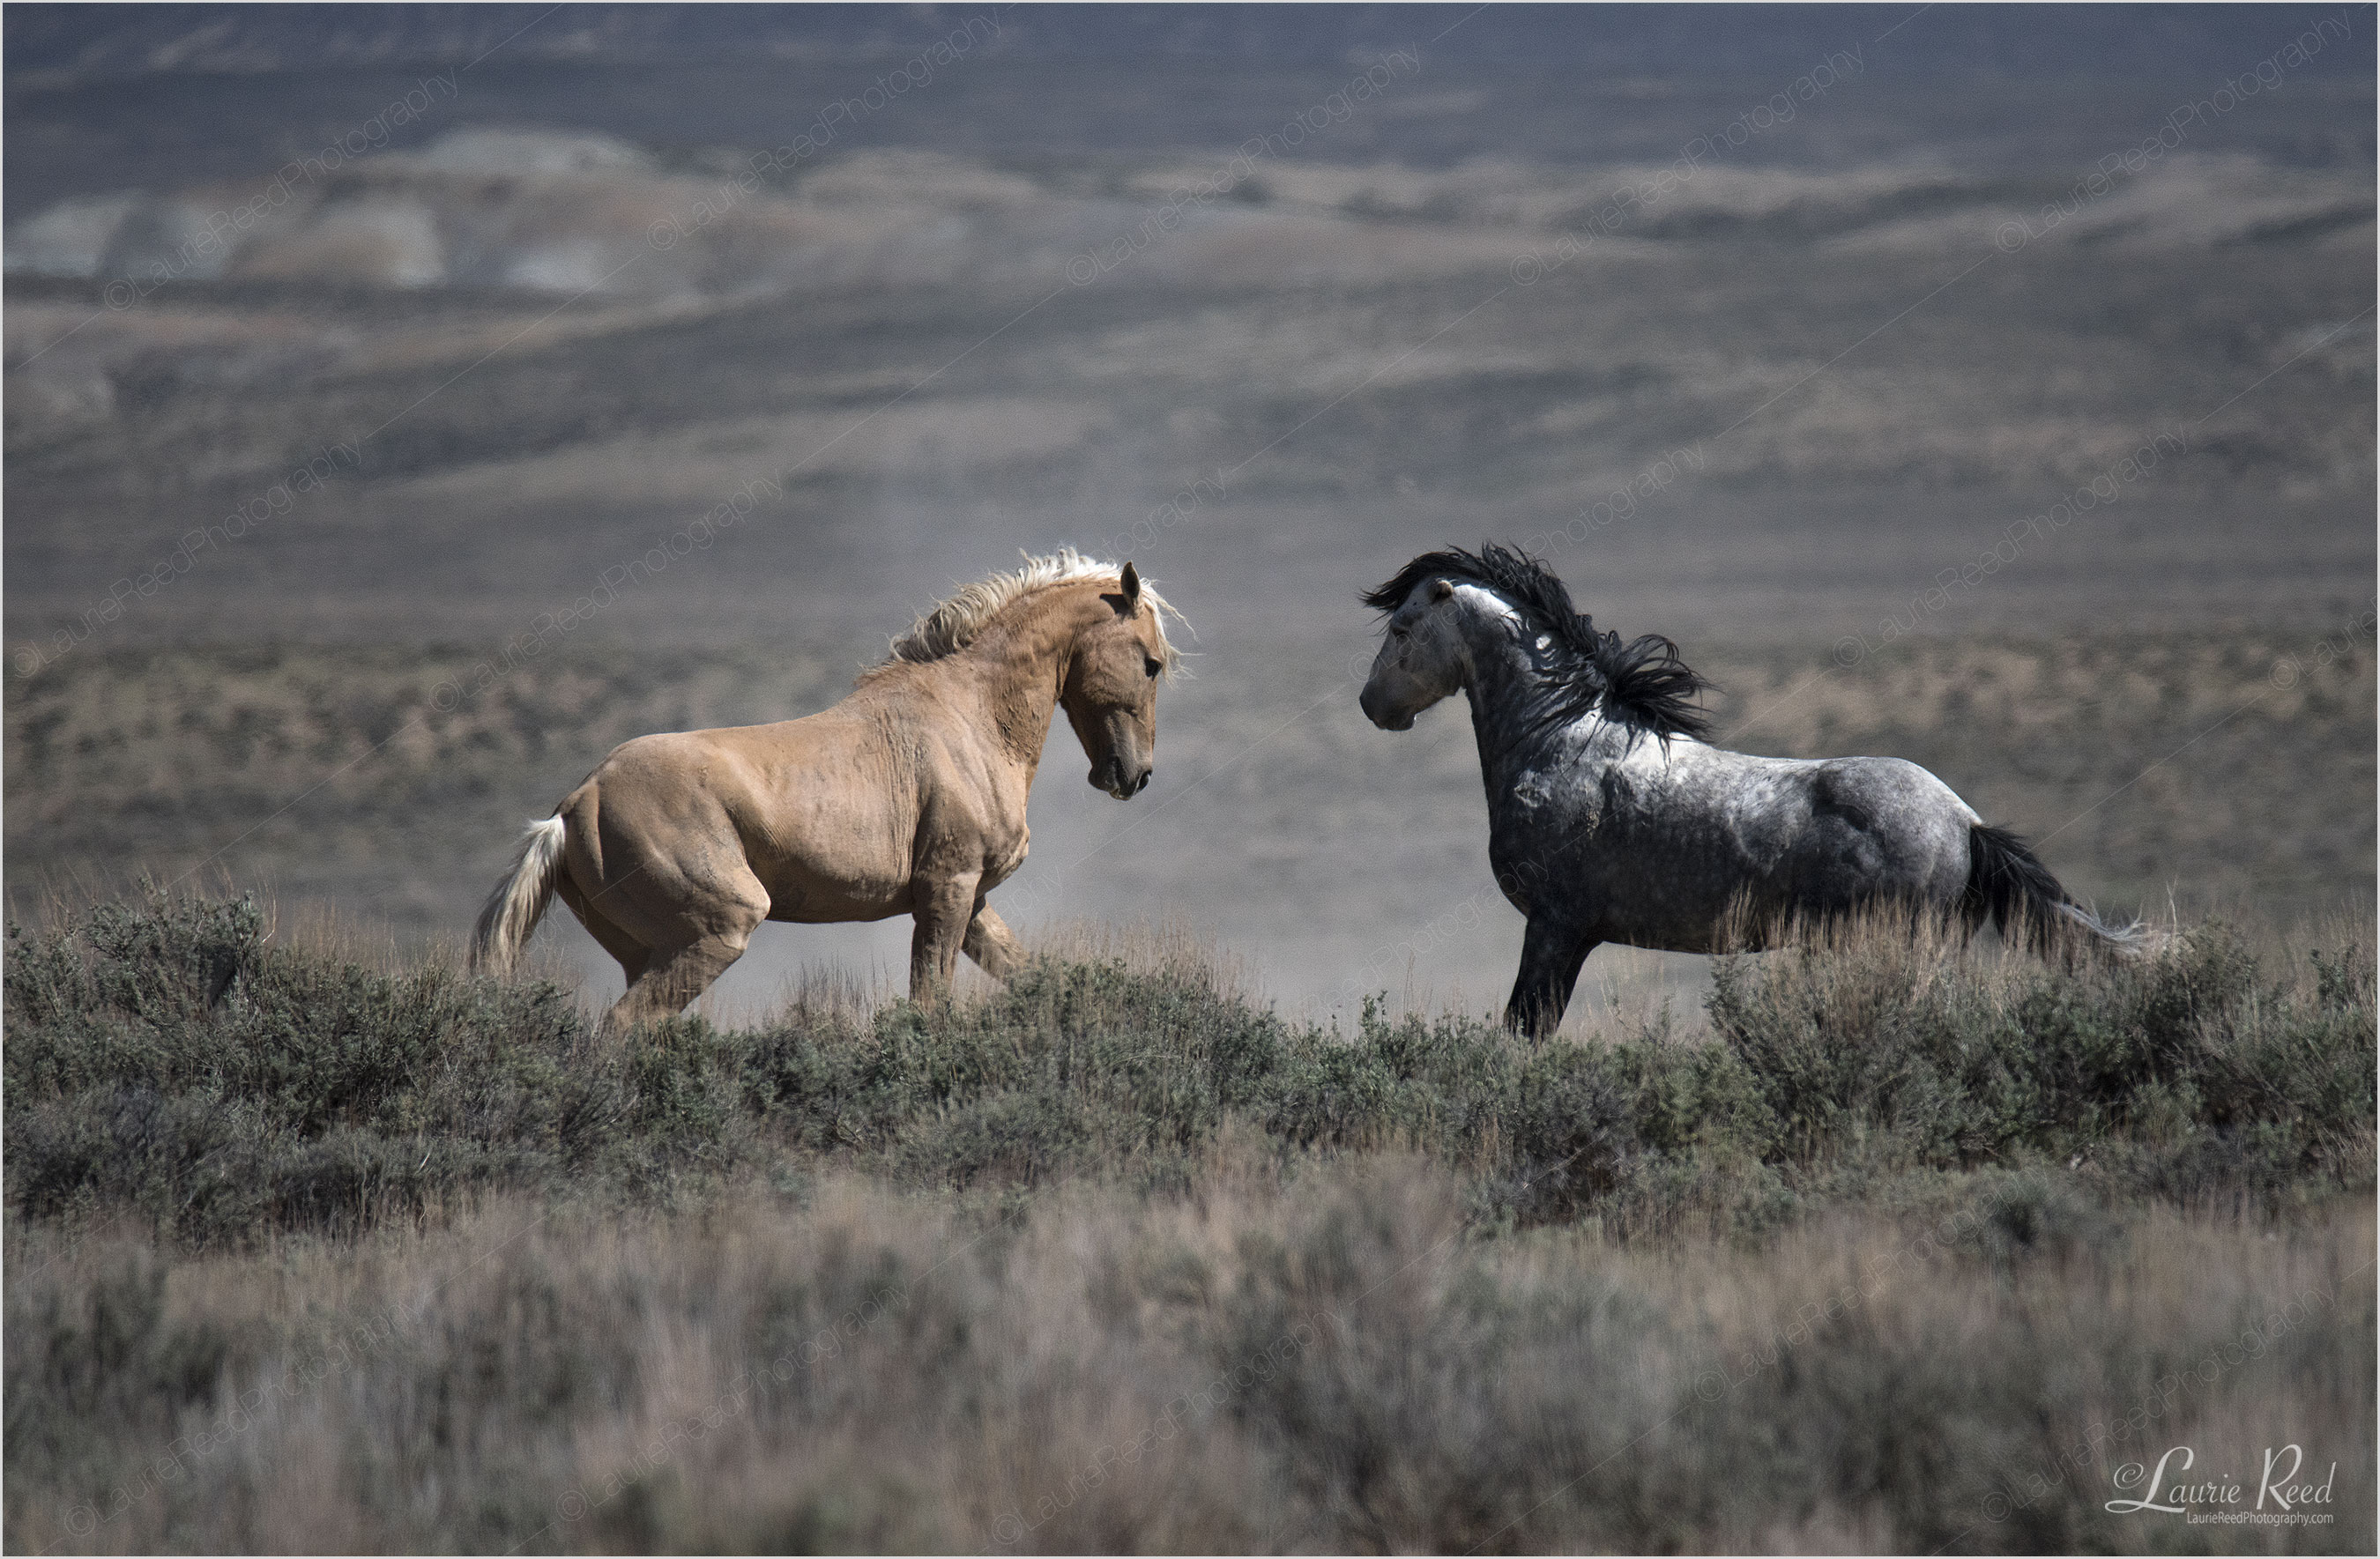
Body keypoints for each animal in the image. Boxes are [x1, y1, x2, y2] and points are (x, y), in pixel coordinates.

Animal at [471, 548, 1186, 1031]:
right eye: (1151, 663)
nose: (1133, 775)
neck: (968, 716)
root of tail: (571, 811)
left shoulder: (973, 900)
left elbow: (1029, 975)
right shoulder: (946, 891)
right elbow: (928, 1005)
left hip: (648, 951)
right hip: (720, 927)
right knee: (621, 1028)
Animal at [1357, 544, 2145, 1038]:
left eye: (1403, 626)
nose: (1372, 705)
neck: (1565, 741)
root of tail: (1965, 822)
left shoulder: (1556, 927)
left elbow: (1525, 1030)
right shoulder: (1570, 934)